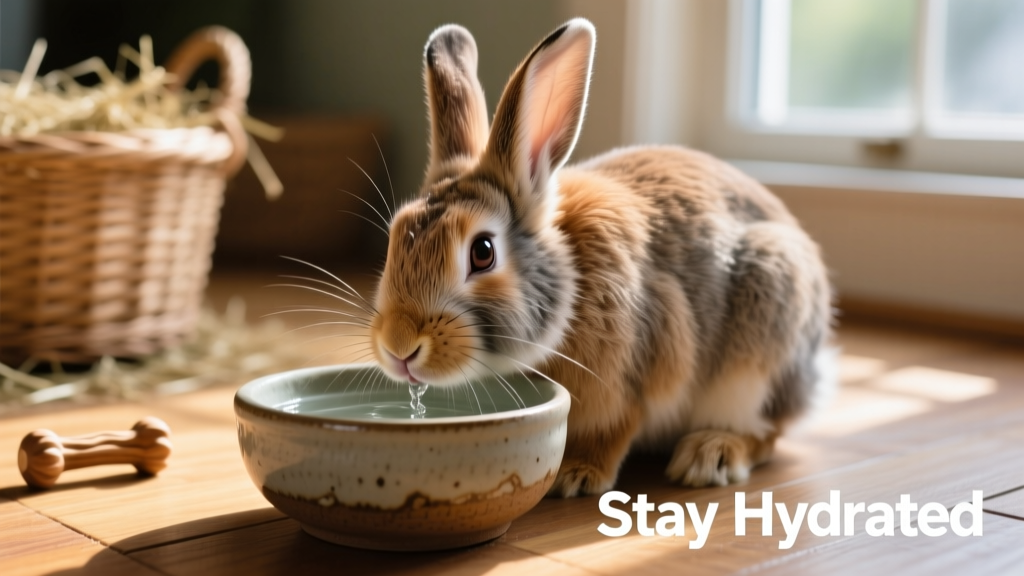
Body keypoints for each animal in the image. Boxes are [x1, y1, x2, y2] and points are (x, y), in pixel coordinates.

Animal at [369, 18, 834, 497]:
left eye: (483, 252)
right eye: (395, 236)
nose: (399, 347)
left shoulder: (633, 378)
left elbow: (613, 429)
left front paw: (576, 475)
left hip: (761, 342)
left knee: (766, 432)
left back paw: (711, 454)